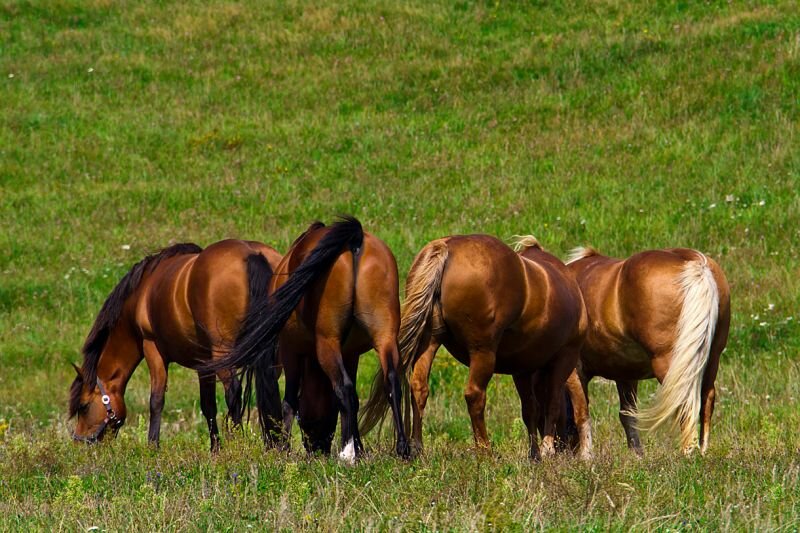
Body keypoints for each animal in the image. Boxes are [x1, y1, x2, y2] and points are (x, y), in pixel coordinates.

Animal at [69, 239, 282, 450]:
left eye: (84, 406)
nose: (80, 444)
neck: (141, 294)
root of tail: (252, 254)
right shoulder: (203, 364)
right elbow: (208, 405)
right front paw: (215, 450)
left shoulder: (152, 349)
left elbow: (156, 400)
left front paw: (153, 446)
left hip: (223, 353)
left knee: (234, 393)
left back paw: (239, 443)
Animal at [209, 216, 410, 462]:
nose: (317, 448)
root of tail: (356, 240)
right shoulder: (351, 353)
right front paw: (360, 447)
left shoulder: (291, 351)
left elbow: (290, 401)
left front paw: (283, 448)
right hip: (385, 337)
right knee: (392, 383)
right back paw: (402, 449)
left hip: (327, 343)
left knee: (343, 388)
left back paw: (347, 454)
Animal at [564, 245, 732, 454]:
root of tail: (694, 263)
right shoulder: (625, 374)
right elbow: (627, 415)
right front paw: (637, 455)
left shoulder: (575, 371)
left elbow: (581, 413)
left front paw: (586, 456)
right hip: (711, 359)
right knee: (706, 400)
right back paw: (702, 451)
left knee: (686, 403)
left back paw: (688, 453)